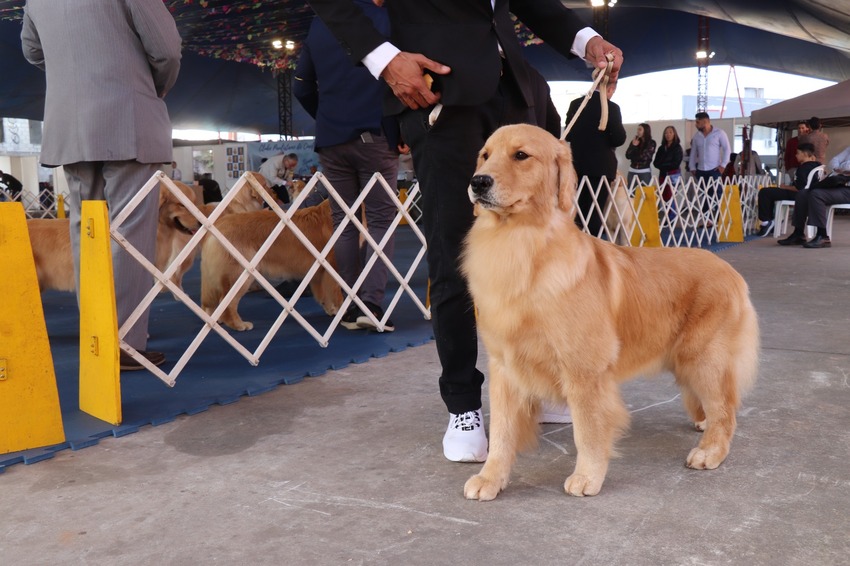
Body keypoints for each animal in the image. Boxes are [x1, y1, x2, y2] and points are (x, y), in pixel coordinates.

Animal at [199, 200, 342, 332]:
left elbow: (324, 294)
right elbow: (337, 293)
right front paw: (340, 312)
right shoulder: (333, 268)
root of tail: (218, 225)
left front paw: (331, 310)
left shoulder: (319, 271)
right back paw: (239, 325)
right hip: (240, 276)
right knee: (227, 303)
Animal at [460, 124, 760, 502]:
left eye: (521, 155)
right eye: (485, 156)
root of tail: (731, 270)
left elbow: (587, 430)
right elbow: (501, 431)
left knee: (725, 409)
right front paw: (490, 477)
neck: (521, 243)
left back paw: (710, 451)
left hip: (705, 358)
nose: (478, 182)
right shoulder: (504, 366)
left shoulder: (584, 369)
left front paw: (587, 476)